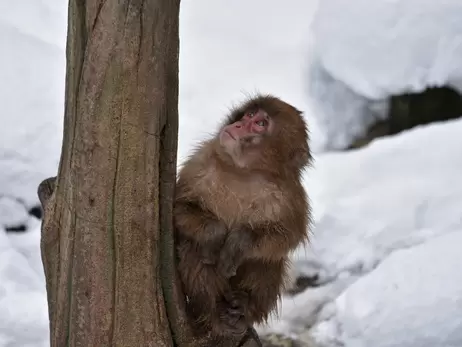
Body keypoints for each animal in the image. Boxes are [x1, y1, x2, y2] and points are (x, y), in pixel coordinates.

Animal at [175, 94, 312, 338]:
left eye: (261, 123)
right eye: (249, 114)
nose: (238, 125)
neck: (242, 172)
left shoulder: (290, 194)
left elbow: (288, 236)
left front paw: (239, 241)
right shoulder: (201, 161)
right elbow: (181, 206)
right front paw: (215, 233)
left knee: (268, 260)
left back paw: (244, 308)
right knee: (194, 249)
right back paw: (213, 312)